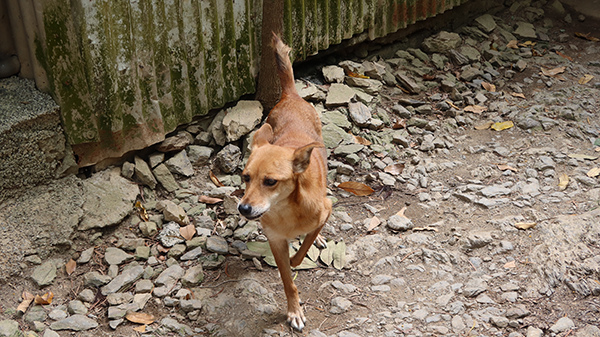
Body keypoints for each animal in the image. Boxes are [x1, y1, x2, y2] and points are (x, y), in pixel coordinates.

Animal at [238, 33, 332, 328]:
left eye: (271, 182)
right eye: (245, 177)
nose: (243, 208)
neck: (287, 209)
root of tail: (290, 94)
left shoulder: (326, 209)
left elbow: (304, 247)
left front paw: (299, 254)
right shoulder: (275, 240)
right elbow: (288, 281)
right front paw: (293, 311)